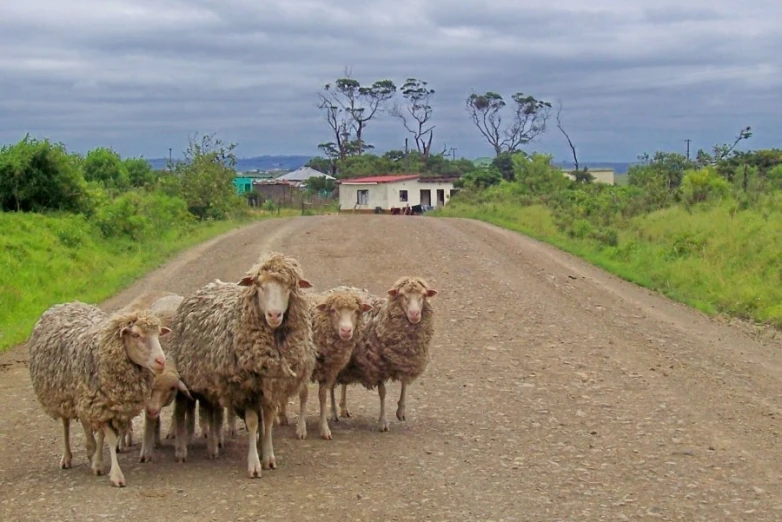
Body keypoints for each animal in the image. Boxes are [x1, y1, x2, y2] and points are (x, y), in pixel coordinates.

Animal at [27, 298, 170, 486]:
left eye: (159, 334)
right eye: (136, 335)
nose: (161, 361)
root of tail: (66, 304)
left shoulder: (106, 407)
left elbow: (104, 437)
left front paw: (99, 463)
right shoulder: (92, 404)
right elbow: (106, 439)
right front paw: (115, 474)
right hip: (62, 396)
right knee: (66, 424)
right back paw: (67, 457)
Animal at [168, 251, 318, 476]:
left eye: (288, 287)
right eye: (259, 285)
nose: (274, 315)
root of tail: (210, 285)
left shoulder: (271, 387)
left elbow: (268, 421)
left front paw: (268, 455)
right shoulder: (245, 389)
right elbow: (253, 422)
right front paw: (254, 463)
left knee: (210, 410)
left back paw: (214, 446)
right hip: (190, 379)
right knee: (185, 411)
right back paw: (186, 450)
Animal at [278, 286, 376, 440]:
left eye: (356, 311)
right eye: (333, 310)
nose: (346, 330)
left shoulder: (329, 371)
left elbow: (322, 397)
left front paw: (324, 428)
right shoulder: (306, 367)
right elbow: (304, 395)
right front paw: (301, 429)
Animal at [334, 276, 438, 430]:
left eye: (423, 295)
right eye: (402, 295)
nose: (414, 314)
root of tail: (341, 288)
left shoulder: (405, 360)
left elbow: (404, 383)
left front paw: (401, 411)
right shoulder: (378, 366)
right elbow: (383, 393)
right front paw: (383, 422)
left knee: (344, 383)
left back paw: (343, 408)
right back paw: (334, 412)